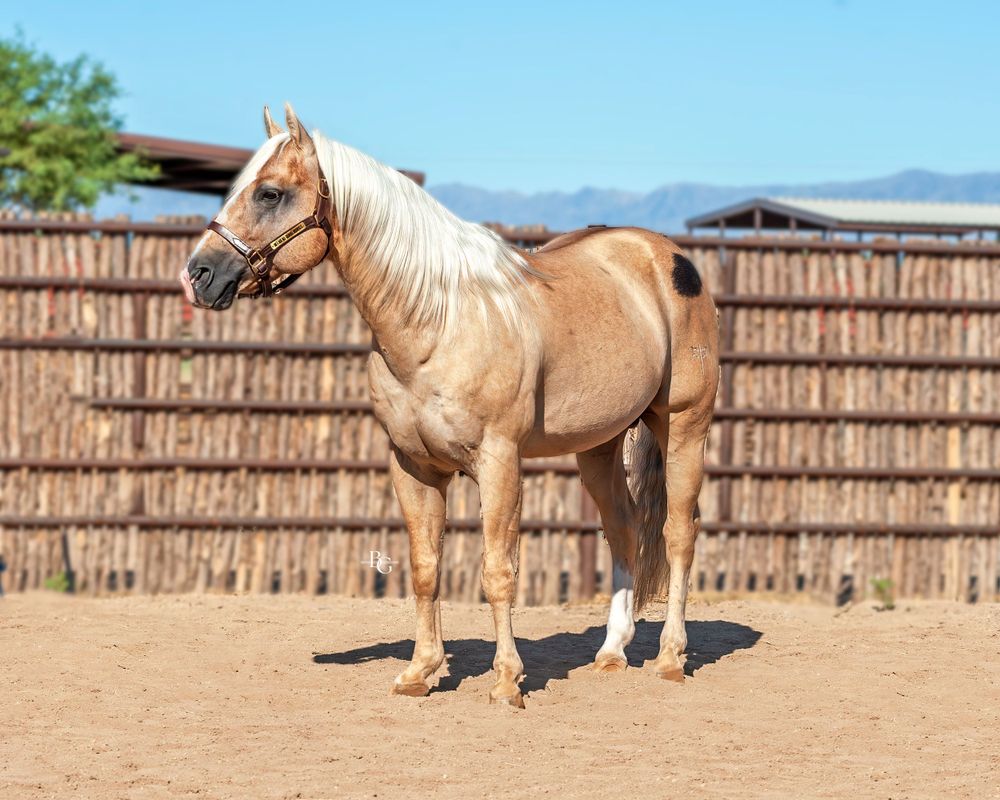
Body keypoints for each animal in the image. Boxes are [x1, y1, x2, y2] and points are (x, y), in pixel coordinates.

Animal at [181, 104, 720, 709]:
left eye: (270, 193)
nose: (199, 274)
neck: (439, 322)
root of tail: (668, 256)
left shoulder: (499, 461)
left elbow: (497, 571)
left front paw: (507, 682)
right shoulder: (413, 466)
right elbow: (424, 567)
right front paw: (420, 671)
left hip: (684, 427)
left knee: (678, 532)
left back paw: (670, 658)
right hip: (599, 446)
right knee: (624, 529)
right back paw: (611, 653)